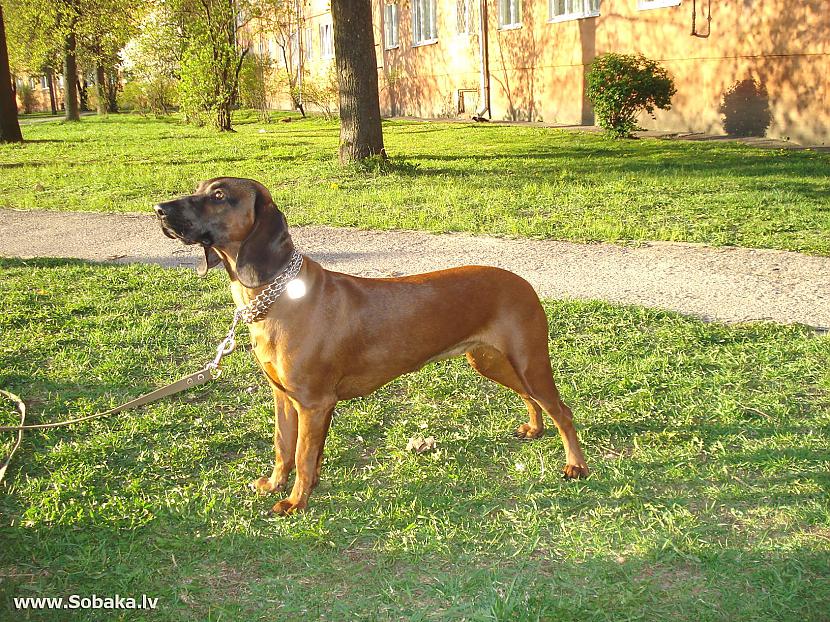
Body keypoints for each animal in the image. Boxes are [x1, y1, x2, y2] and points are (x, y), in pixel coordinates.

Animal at [154, 177, 584, 516]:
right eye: (198, 189)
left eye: (219, 195)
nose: (158, 209)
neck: (278, 296)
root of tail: (524, 283)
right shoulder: (285, 397)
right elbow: (284, 447)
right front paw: (277, 484)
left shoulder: (314, 403)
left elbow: (303, 456)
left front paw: (295, 501)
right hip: (492, 361)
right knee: (530, 398)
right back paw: (535, 428)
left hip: (529, 360)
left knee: (562, 410)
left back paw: (576, 465)